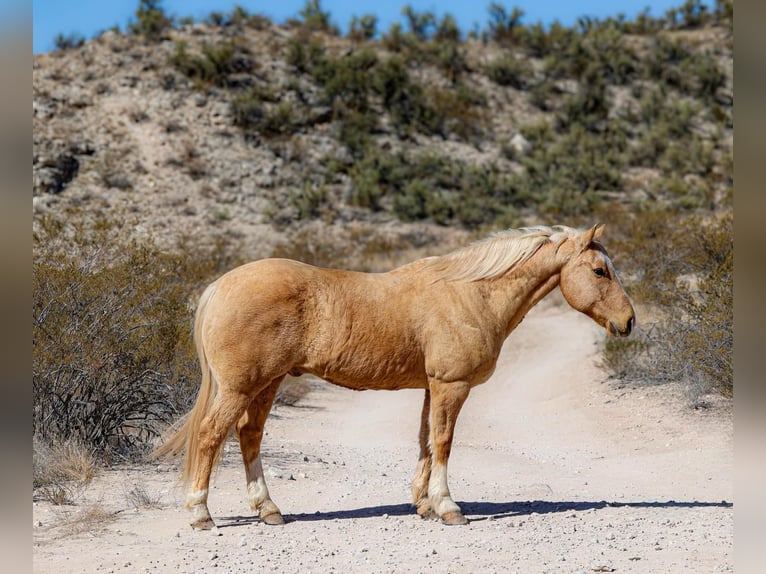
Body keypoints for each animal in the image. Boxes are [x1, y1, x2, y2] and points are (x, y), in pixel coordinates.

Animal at [150, 223, 636, 528]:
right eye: (599, 271)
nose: (628, 322)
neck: (472, 294)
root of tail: (220, 286)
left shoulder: (431, 387)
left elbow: (425, 441)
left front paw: (423, 504)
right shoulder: (451, 386)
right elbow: (444, 441)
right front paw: (448, 507)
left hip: (267, 383)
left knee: (248, 436)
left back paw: (269, 510)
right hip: (241, 386)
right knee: (212, 435)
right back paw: (201, 514)